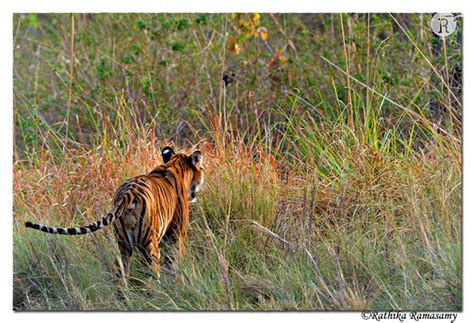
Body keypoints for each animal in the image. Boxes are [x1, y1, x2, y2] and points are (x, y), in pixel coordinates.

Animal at [24, 147, 204, 278]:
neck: (175, 164)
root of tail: (128, 193)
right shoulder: (178, 234)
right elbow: (175, 261)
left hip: (123, 243)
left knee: (120, 269)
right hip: (148, 243)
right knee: (151, 272)